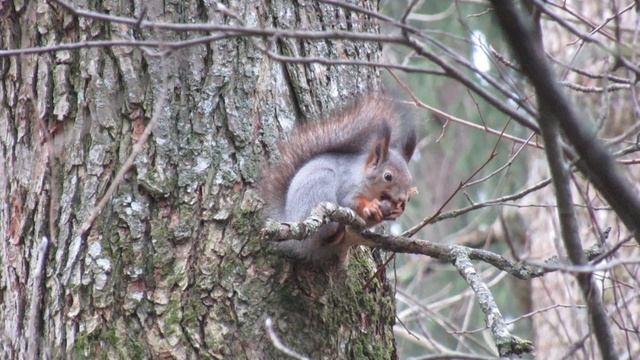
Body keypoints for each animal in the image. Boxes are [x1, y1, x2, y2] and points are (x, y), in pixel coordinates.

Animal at [262, 95, 420, 268]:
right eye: (388, 176)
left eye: (410, 178)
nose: (402, 199)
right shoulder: (347, 187)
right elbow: (349, 201)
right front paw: (370, 206)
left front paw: (395, 211)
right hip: (320, 188)